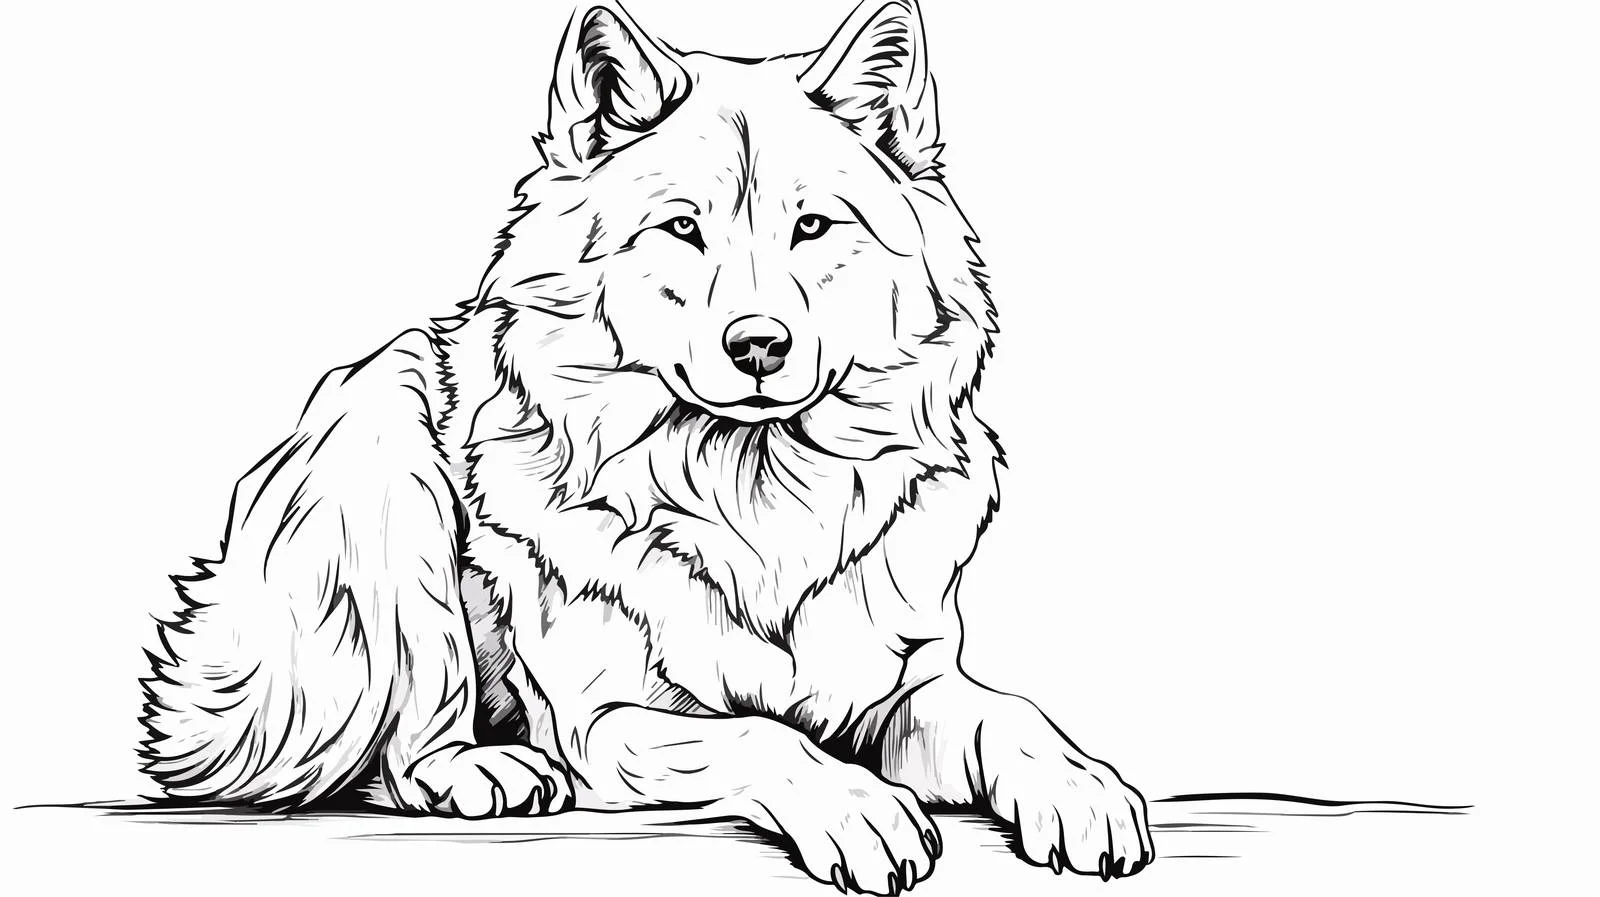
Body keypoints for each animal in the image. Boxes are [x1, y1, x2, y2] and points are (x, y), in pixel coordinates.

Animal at [139, 1, 1153, 891]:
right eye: (681, 229)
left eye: (813, 226)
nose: (759, 345)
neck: (757, 502)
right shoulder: (602, 725)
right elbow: (763, 734)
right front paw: (860, 809)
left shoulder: (901, 688)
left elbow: (1007, 713)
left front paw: (1086, 786)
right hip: (385, 461)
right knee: (409, 736)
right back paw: (482, 770)